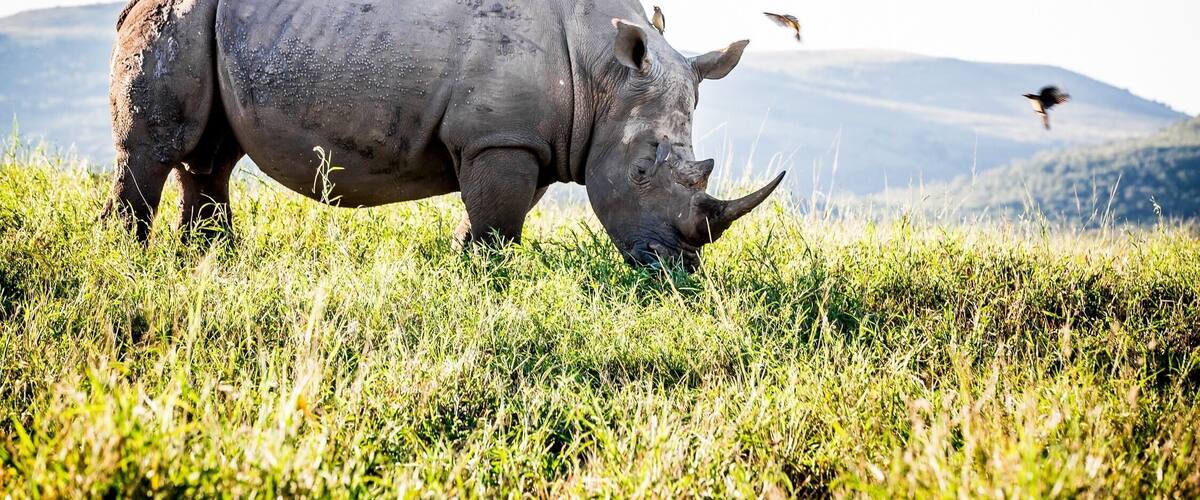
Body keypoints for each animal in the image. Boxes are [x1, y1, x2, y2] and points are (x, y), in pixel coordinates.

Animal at [102, 0, 785, 271]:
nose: (676, 269)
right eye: (641, 172)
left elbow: (500, 212)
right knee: (156, 149)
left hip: (217, 23)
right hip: (181, 15)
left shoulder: (526, 138)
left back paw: (210, 259)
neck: (604, 74)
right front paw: (483, 278)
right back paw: (126, 259)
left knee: (211, 157)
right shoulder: (501, 136)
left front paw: (464, 262)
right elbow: (498, 219)